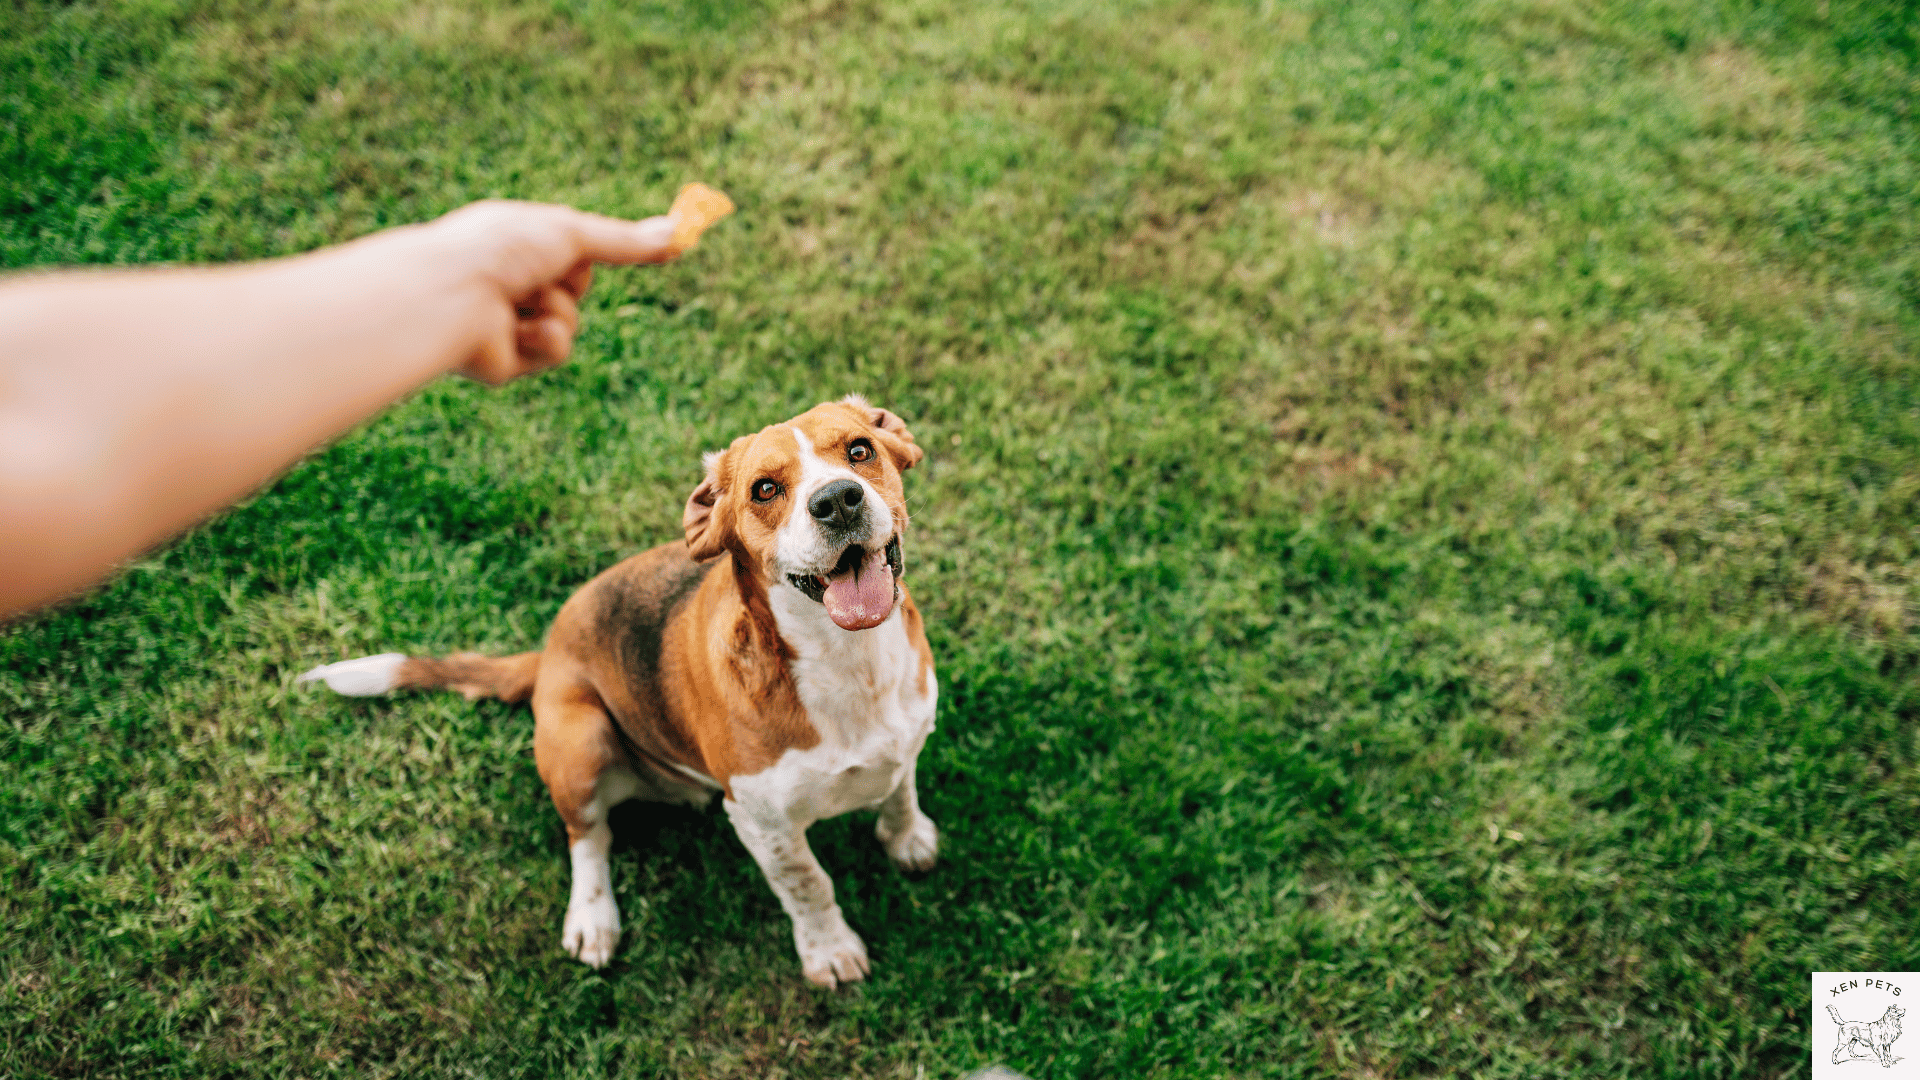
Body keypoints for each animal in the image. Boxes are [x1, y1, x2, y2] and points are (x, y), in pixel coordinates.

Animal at [293, 397, 944, 983]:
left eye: (859, 451)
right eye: (764, 489)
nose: (836, 500)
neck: (848, 662)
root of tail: (548, 654)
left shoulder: (907, 739)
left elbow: (900, 790)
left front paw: (907, 839)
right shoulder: (765, 826)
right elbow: (810, 886)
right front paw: (829, 951)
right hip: (580, 741)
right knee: (588, 836)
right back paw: (593, 918)